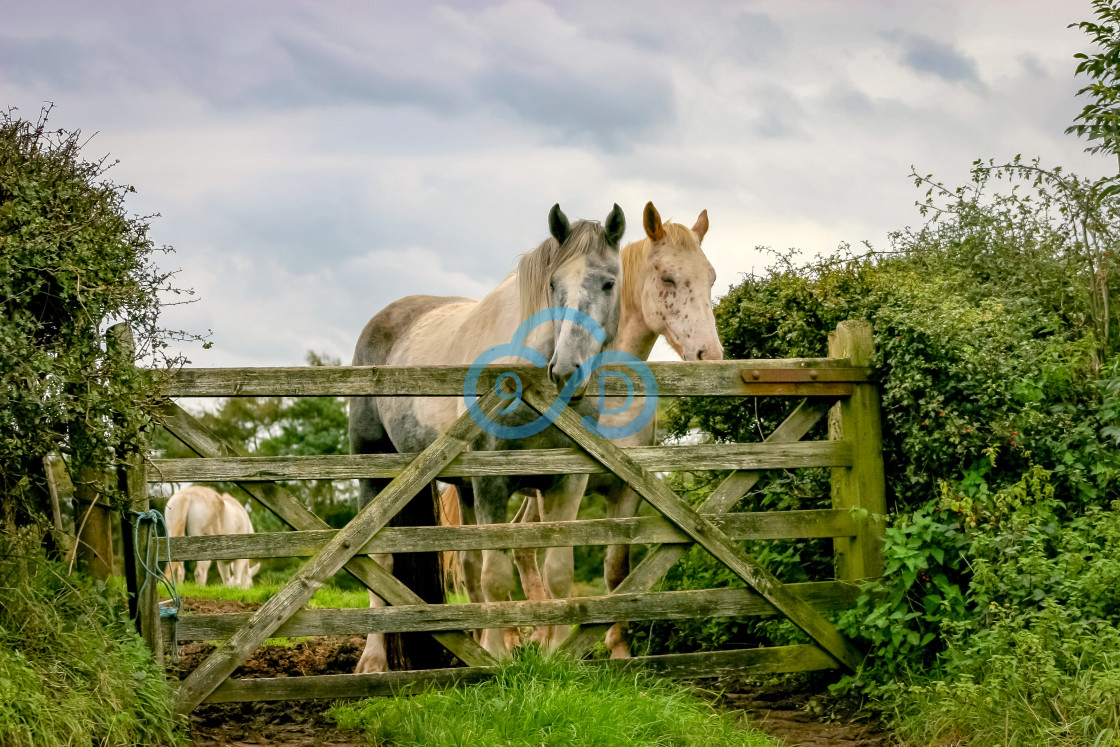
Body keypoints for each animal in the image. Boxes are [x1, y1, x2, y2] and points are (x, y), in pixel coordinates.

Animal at [349, 202, 627, 671]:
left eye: (608, 282)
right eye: (554, 284)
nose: (565, 370)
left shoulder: (566, 483)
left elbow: (557, 572)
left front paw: (556, 654)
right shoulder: (491, 484)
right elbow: (497, 577)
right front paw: (499, 657)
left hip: (460, 488)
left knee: (468, 563)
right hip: (376, 470)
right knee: (382, 559)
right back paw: (373, 661)